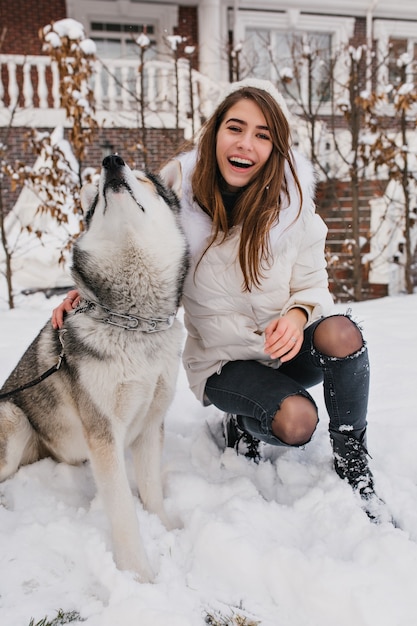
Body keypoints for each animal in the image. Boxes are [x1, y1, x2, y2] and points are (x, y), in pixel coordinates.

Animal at [0, 152, 188, 580]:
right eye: (99, 194)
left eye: (143, 178)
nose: (111, 161)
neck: (135, 322)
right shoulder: (104, 433)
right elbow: (122, 513)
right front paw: (140, 575)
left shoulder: (151, 422)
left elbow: (151, 490)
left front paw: (166, 527)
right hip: (13, 417)